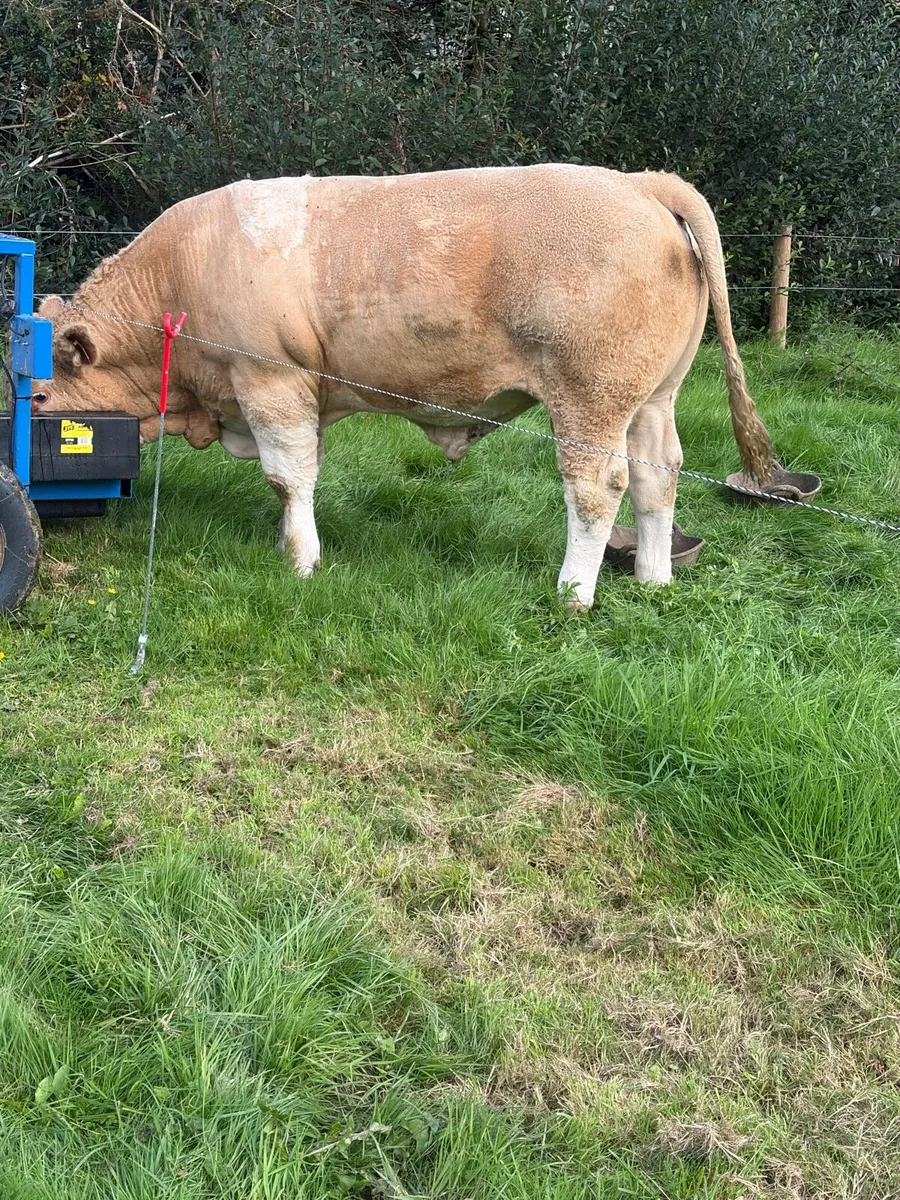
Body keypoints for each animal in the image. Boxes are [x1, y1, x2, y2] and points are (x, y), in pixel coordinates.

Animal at [33, 164, 773, 609]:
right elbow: (298, 474)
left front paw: (300, 562)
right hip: (651, 398)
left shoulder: (270, 379)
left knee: (598, 488)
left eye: (36, 398)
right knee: (657, 475)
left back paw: (572, 592)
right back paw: (652, 576)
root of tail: (642, 182)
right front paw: (288, 544)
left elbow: (287, 475)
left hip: (590, 395)